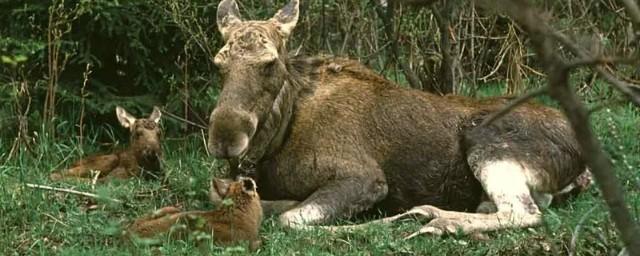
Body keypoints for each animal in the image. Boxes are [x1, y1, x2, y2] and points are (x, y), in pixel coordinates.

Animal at [206, 0, 596, 238]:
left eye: (270, 63)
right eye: (219, 64)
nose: (225, 139)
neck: (279, 138)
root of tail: (583, 162)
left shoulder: (366, 178)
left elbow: (292, 220)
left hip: (487, 141)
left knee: (523, 212)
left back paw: (436, 220)